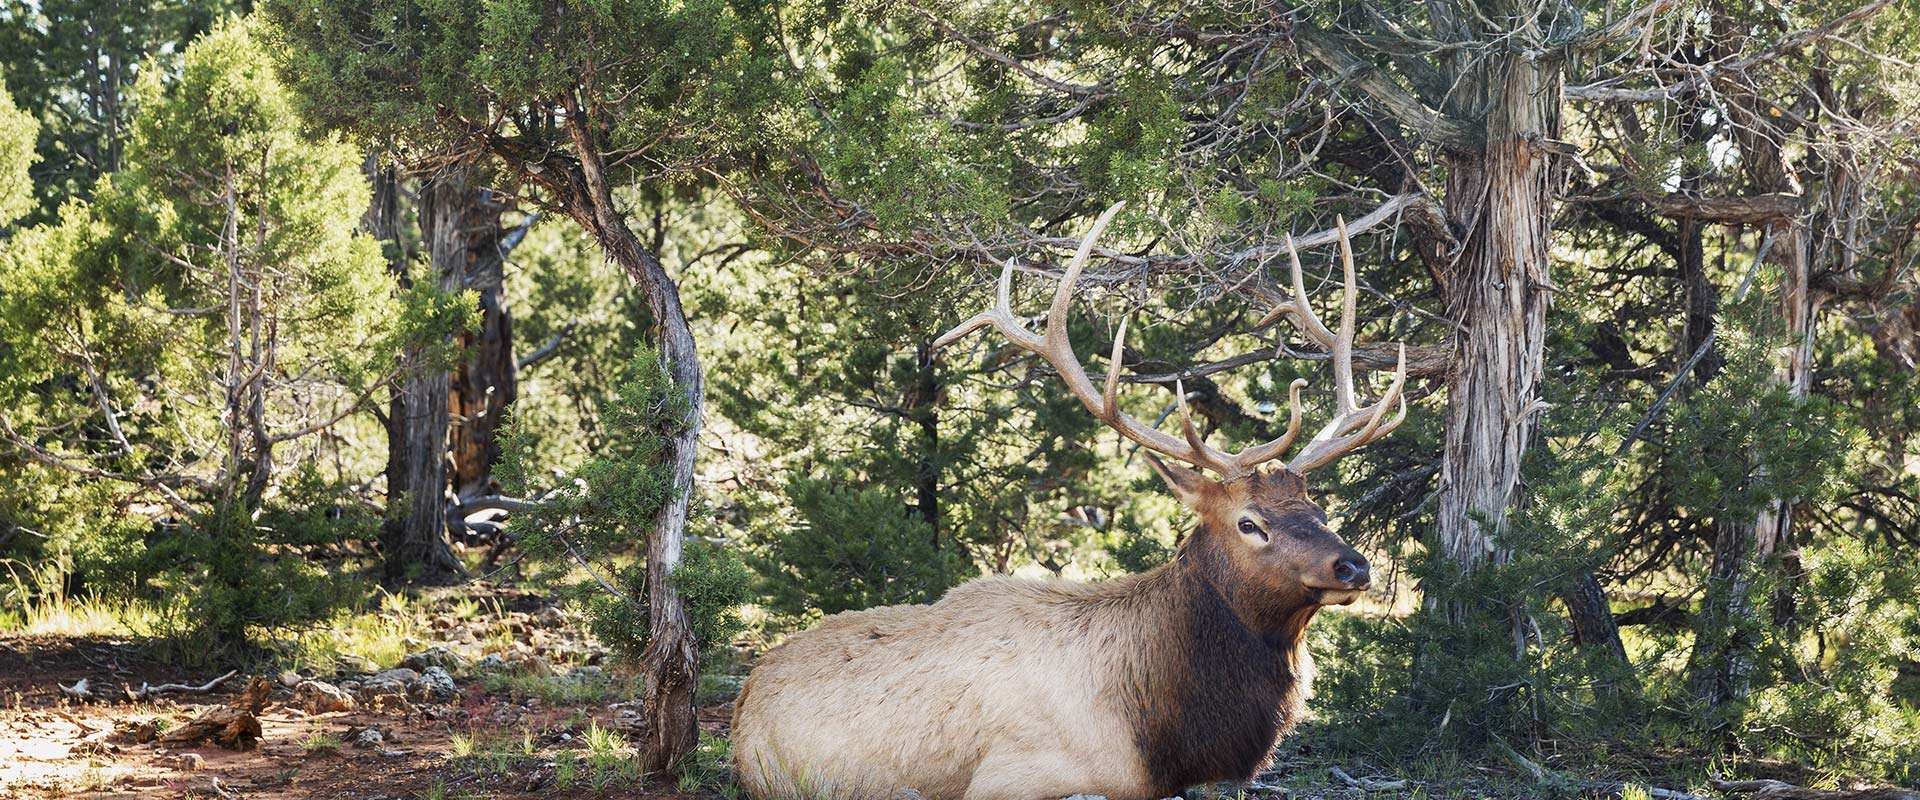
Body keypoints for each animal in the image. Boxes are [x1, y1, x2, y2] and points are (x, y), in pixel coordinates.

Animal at [733, 202, 1413, 794]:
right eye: (1250, 523)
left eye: (1319, 510)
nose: (1353, 566)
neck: (1162, 732)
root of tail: (742, 704)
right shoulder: (1017, 777)